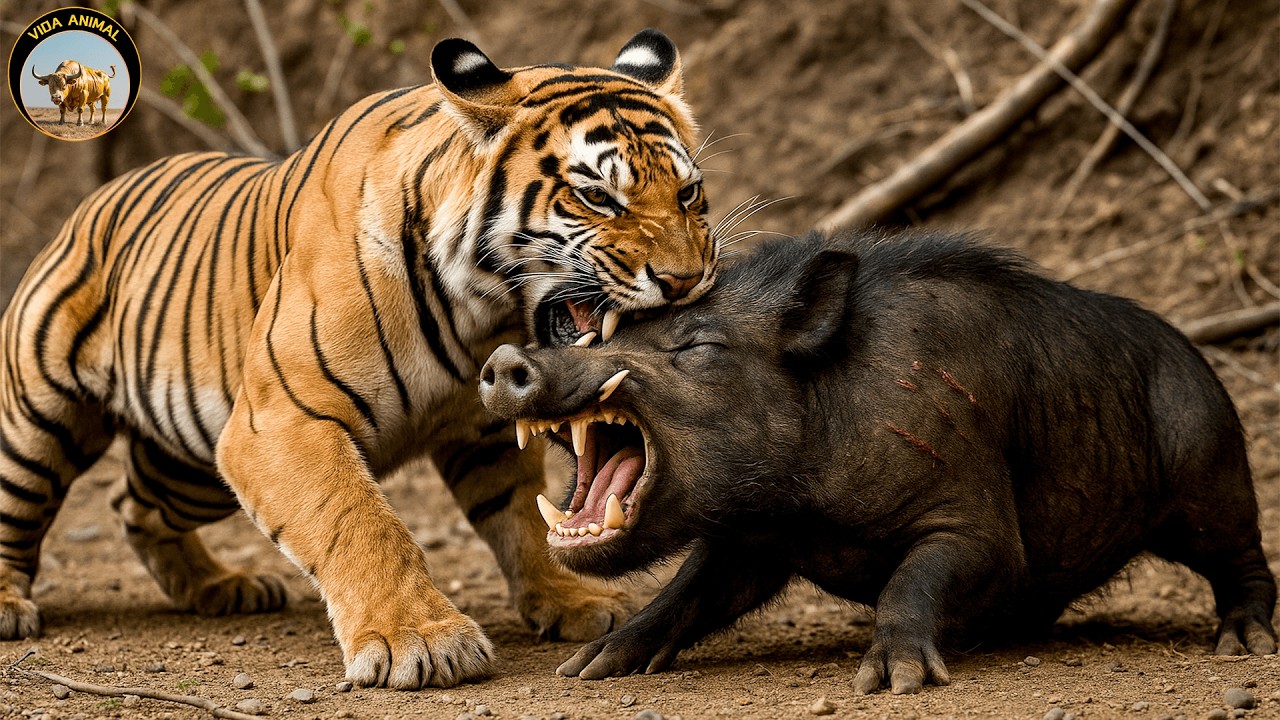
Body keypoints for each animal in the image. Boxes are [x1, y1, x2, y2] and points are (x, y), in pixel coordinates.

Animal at [0, 29, 716, 689]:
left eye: (688, 194)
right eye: (598, 197)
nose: (685, 280)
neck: (483, 315)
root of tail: (91, 203)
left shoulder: (481, 432)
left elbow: (523, 519)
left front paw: (573, 600)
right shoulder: (279, 421)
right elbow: (359, 521)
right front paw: (420, 641)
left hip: (191, 465)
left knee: (133, 503)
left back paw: (219, 586)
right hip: (40, 422)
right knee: (24, 501)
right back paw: (11, 607)